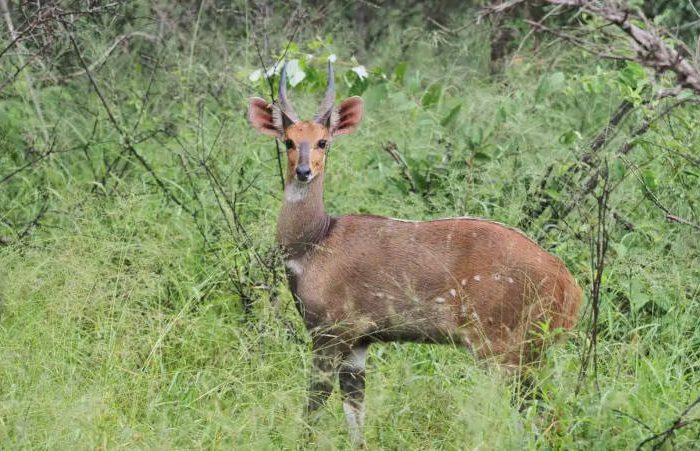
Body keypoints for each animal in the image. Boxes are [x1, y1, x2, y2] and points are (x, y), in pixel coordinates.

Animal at [246, 61, 580, 446]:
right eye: (288, 140)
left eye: (322, 141)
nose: (303, 171)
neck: (315, 243)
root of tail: (572, 291)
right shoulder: (359, 342)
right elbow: (355, 415)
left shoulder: (331, 331)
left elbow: (312, 408)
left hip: (503, 348)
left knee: (544, 413)